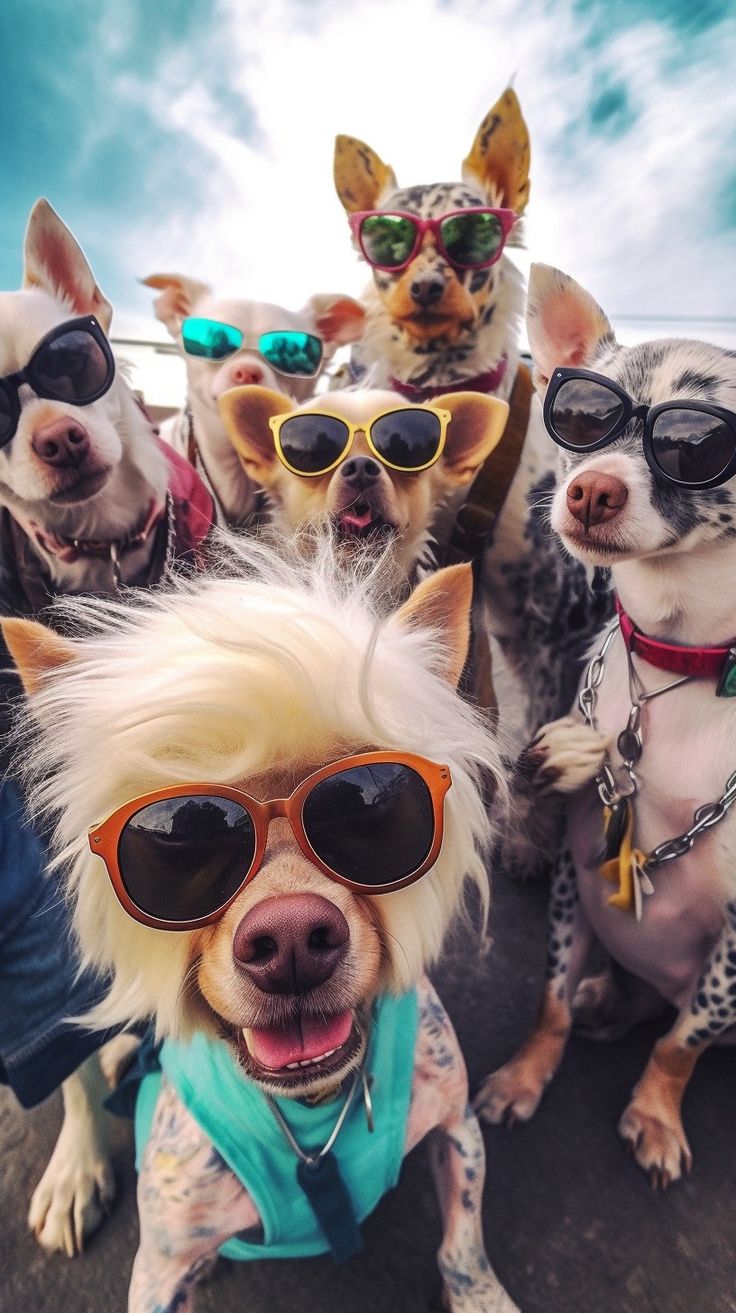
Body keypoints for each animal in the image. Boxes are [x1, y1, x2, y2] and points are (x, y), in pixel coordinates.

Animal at [5, 535, 522, 1313]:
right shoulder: (158, 1267)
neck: (313, 1110)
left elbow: (462, 1245)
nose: (291, 940)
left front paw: (481, 1297)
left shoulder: (458, 1129)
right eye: (181, 840)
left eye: (369, 806)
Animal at [333, 89, 608, 871]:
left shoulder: (550, 619)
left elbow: (538, 740)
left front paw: (528, 835)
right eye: (389, 241)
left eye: (472, 233)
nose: (427, 286)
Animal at [472, 266, 734, 1192]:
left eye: (697, 444)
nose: (591, 489)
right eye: (584, 418)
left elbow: (685, 1040)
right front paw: (523, 1076)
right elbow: (547, 996)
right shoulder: (575, 866)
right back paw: (604, 998)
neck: (676, 661)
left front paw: (654, 1113)